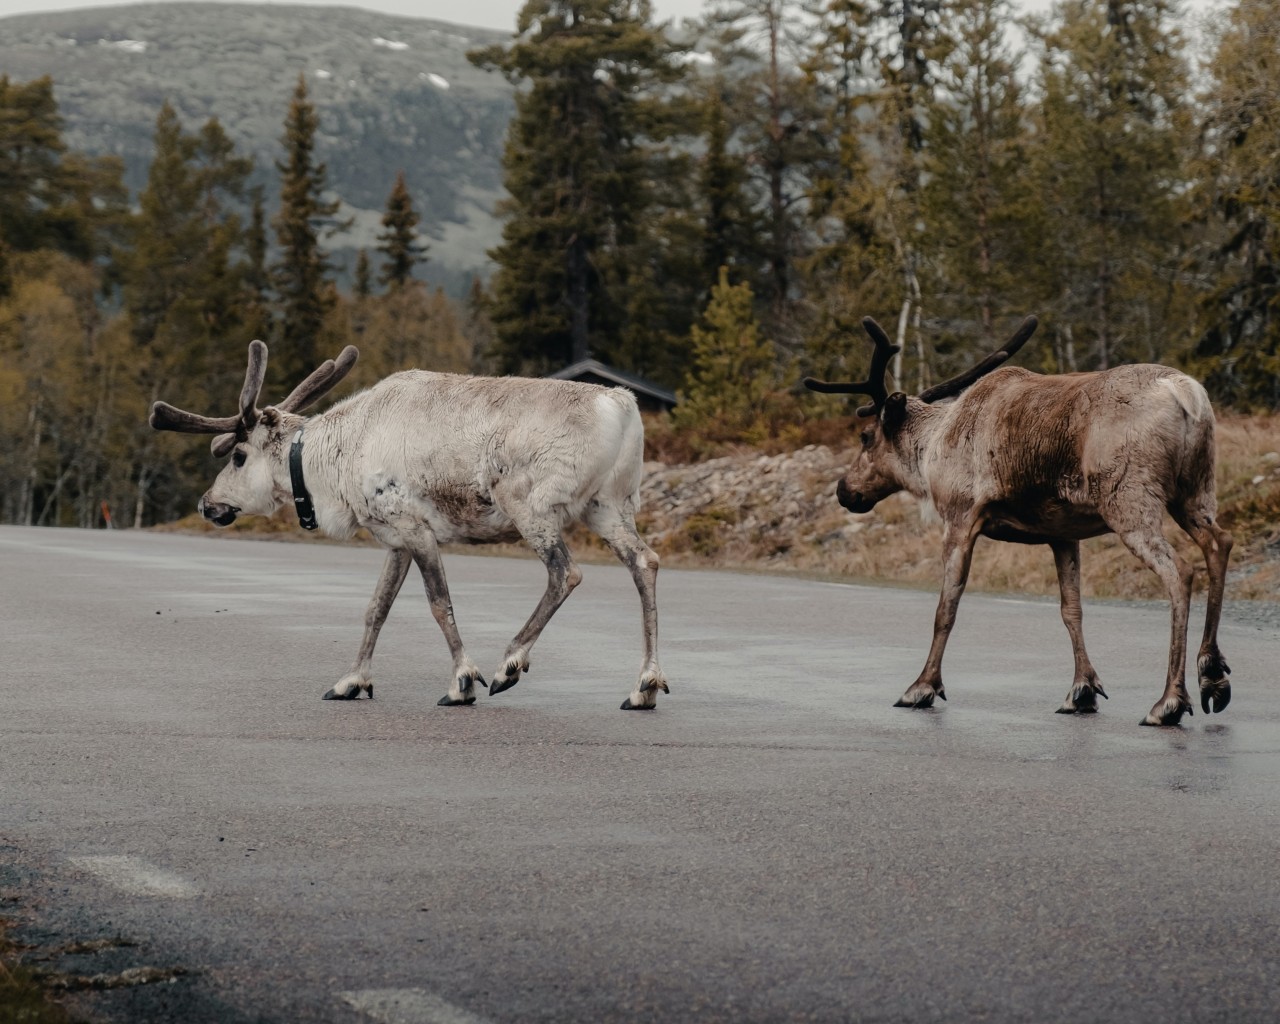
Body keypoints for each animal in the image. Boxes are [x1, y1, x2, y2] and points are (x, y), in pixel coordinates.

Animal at [149, 341, 669, 711]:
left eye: (238, 456)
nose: (207, 503)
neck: (334, 460)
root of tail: (623, 408)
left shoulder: (415, 526)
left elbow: (439, 604)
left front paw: (463, 682)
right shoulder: (393, 539)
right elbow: (375, 609)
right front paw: (350, 681)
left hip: (531, 506)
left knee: (566, 572)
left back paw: (509, 664)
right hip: (609, 505)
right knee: (645, 561)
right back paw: (644, 685)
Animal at [804, 315, 1233, 727]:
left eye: (866, 436)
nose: (844, 490)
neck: (932, 449)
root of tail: (1187, 394)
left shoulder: (960, 517)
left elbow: (946, 608)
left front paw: (922, 687)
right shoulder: (1063, 533)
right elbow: (1071, 610)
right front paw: (1082, 690)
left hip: (1129, 499)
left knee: (1180, 571)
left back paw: (1169, 702)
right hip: (1194, 492)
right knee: (1219, 543)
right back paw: (1212, 675)